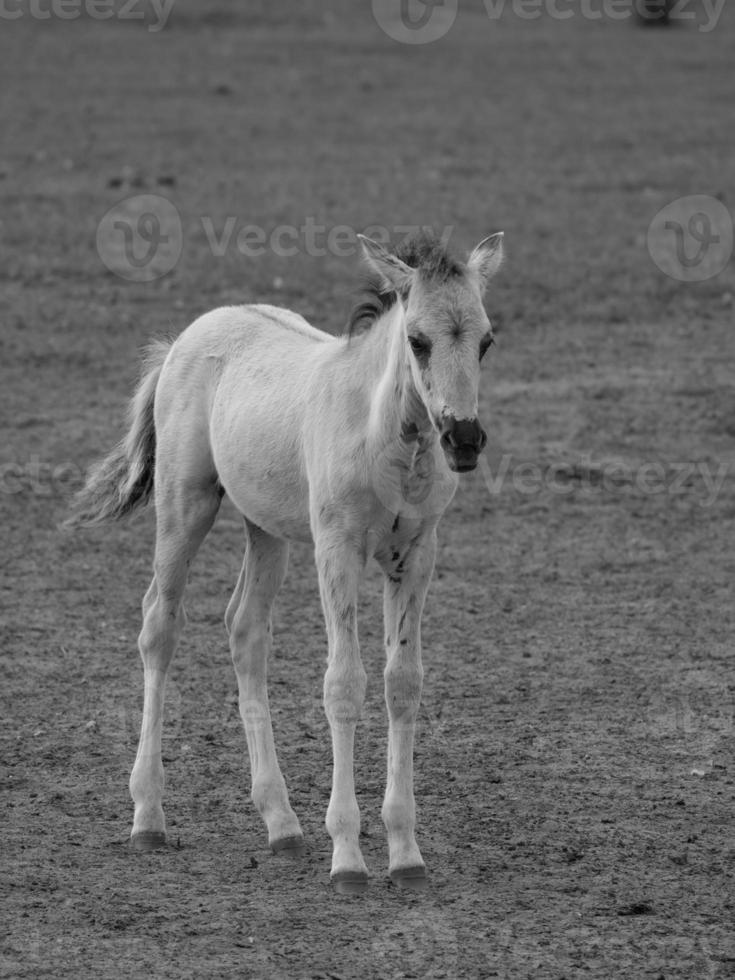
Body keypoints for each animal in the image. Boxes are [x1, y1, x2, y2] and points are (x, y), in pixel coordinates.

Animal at [69, 232, 506, 896]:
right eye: (418, 340)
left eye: (485, 340)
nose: (463, 439)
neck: (384, 438)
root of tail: (186, 337)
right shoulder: (337, 551)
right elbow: (344, 685)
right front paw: (348, 858)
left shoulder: (416, 556)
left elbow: (401, 684)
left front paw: (406, 854)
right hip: (185, 505)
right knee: (159, 626)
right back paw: (148, 816)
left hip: (266, 528)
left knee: (245, 629)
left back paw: (281, 823)